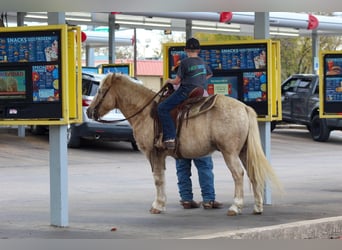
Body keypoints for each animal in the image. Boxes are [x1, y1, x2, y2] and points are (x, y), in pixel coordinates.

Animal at [87, 73, 282, 216]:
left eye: (101, 90)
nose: (89, 111)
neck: (145, 111)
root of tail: (244, 108)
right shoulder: (161, 155)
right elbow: (162, 178)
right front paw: (161, 203)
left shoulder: (153, 153)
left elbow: (158, 179)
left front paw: (157, 205)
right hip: (243, 151)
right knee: (252, 173)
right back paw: (257, 207)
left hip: (230, 152)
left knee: (238, 175)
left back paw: (235, 207)